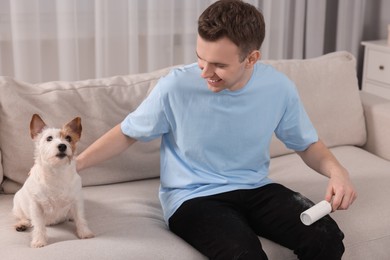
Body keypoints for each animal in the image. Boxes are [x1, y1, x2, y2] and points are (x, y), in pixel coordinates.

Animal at [12, 114, 93, 248]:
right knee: (23, 216)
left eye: (68, 138)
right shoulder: (36, 205)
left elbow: (80, 218)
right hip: (18, 204)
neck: (57, 171)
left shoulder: (76, 200)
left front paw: (84, 232)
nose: (62, 146)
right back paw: (22, 224)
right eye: (49, 138)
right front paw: (39, 240)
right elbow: (38, 224)